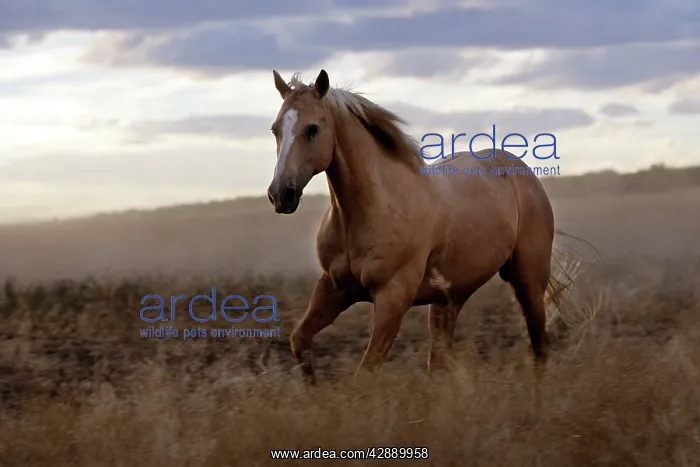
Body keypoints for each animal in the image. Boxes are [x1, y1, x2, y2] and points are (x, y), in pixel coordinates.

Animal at [266, 69, 565, 383]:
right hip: (449, 300)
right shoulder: (333, 287)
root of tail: (521, 171)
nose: (281, 194)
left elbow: (366, 371)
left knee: (539, 345)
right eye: (275, 129)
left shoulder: (393, 297)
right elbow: (299, 341)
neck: (366, 212)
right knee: (440, 361)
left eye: (312, 129)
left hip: (527, 279)